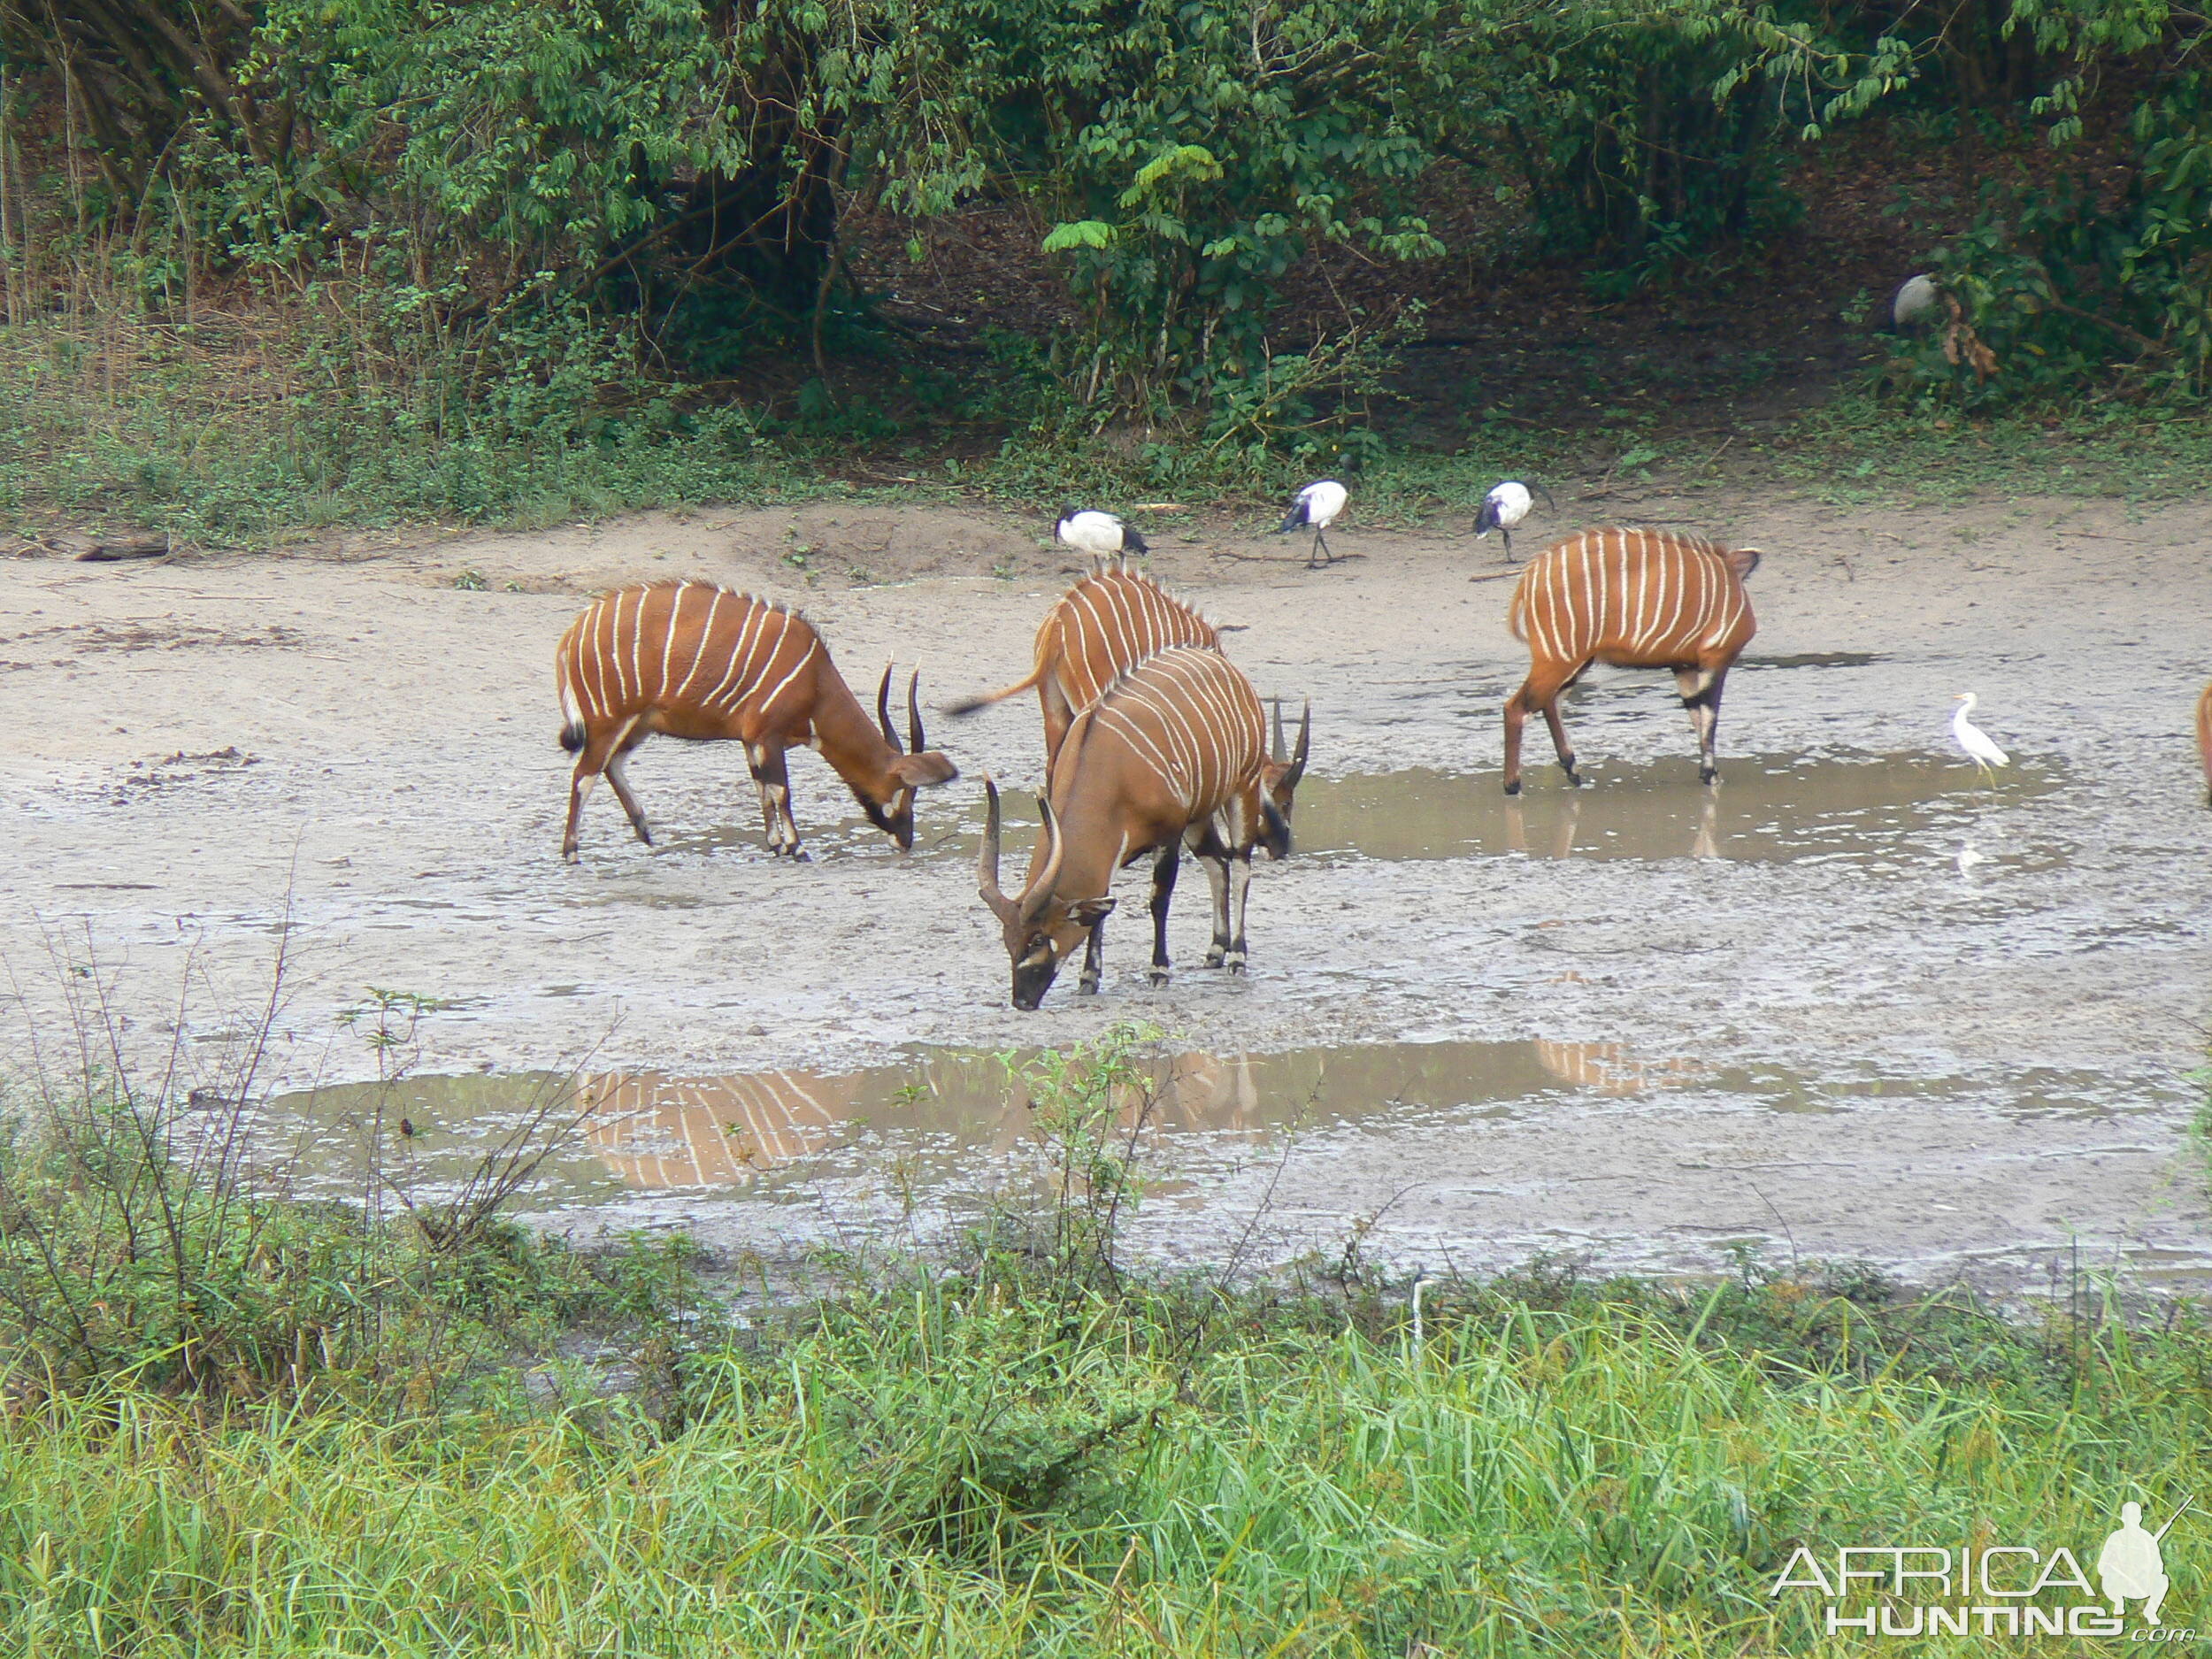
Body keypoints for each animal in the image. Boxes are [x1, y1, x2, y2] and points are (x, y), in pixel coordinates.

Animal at [553, 580, 951, 863]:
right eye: (908, 792)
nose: (906, 839)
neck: (815, 681)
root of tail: (573, 633)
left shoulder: (751, 740)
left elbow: (762, 788)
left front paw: (776, 845)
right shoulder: (767, 735)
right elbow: (781, 790)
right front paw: (797, 848)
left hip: (639, 724)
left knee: (610, 765)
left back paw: (645, 831)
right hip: (610, 719)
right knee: (584, 774)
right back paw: (572, 853)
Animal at [978, 650, 1301, 1013]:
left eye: (1037, 938)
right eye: (1007, 939)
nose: (1022, 1000)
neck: (1108, 767)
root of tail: (1221, 664)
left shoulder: (1168, 836)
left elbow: (1158, 901)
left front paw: (1159, 970)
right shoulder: (1115, 853)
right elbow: (1101, 910)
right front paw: (1089, 978)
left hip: (1241, 789)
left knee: (1241, 864)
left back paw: (1236, 956)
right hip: (1199, 817)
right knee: (1218, 864)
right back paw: (1216, 951)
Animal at [1504, 528, 1761, 796]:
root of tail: (1530, 577)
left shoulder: (1684, 666)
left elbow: (1696, 712)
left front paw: (1709, 775)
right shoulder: (1716, 658)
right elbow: (1710, 716)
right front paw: (1711, 775)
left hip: (1576, 661)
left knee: (1550, 702)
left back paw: (1572, 770)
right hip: (1559, 657)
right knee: (1517, 707)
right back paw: (1514, 786)